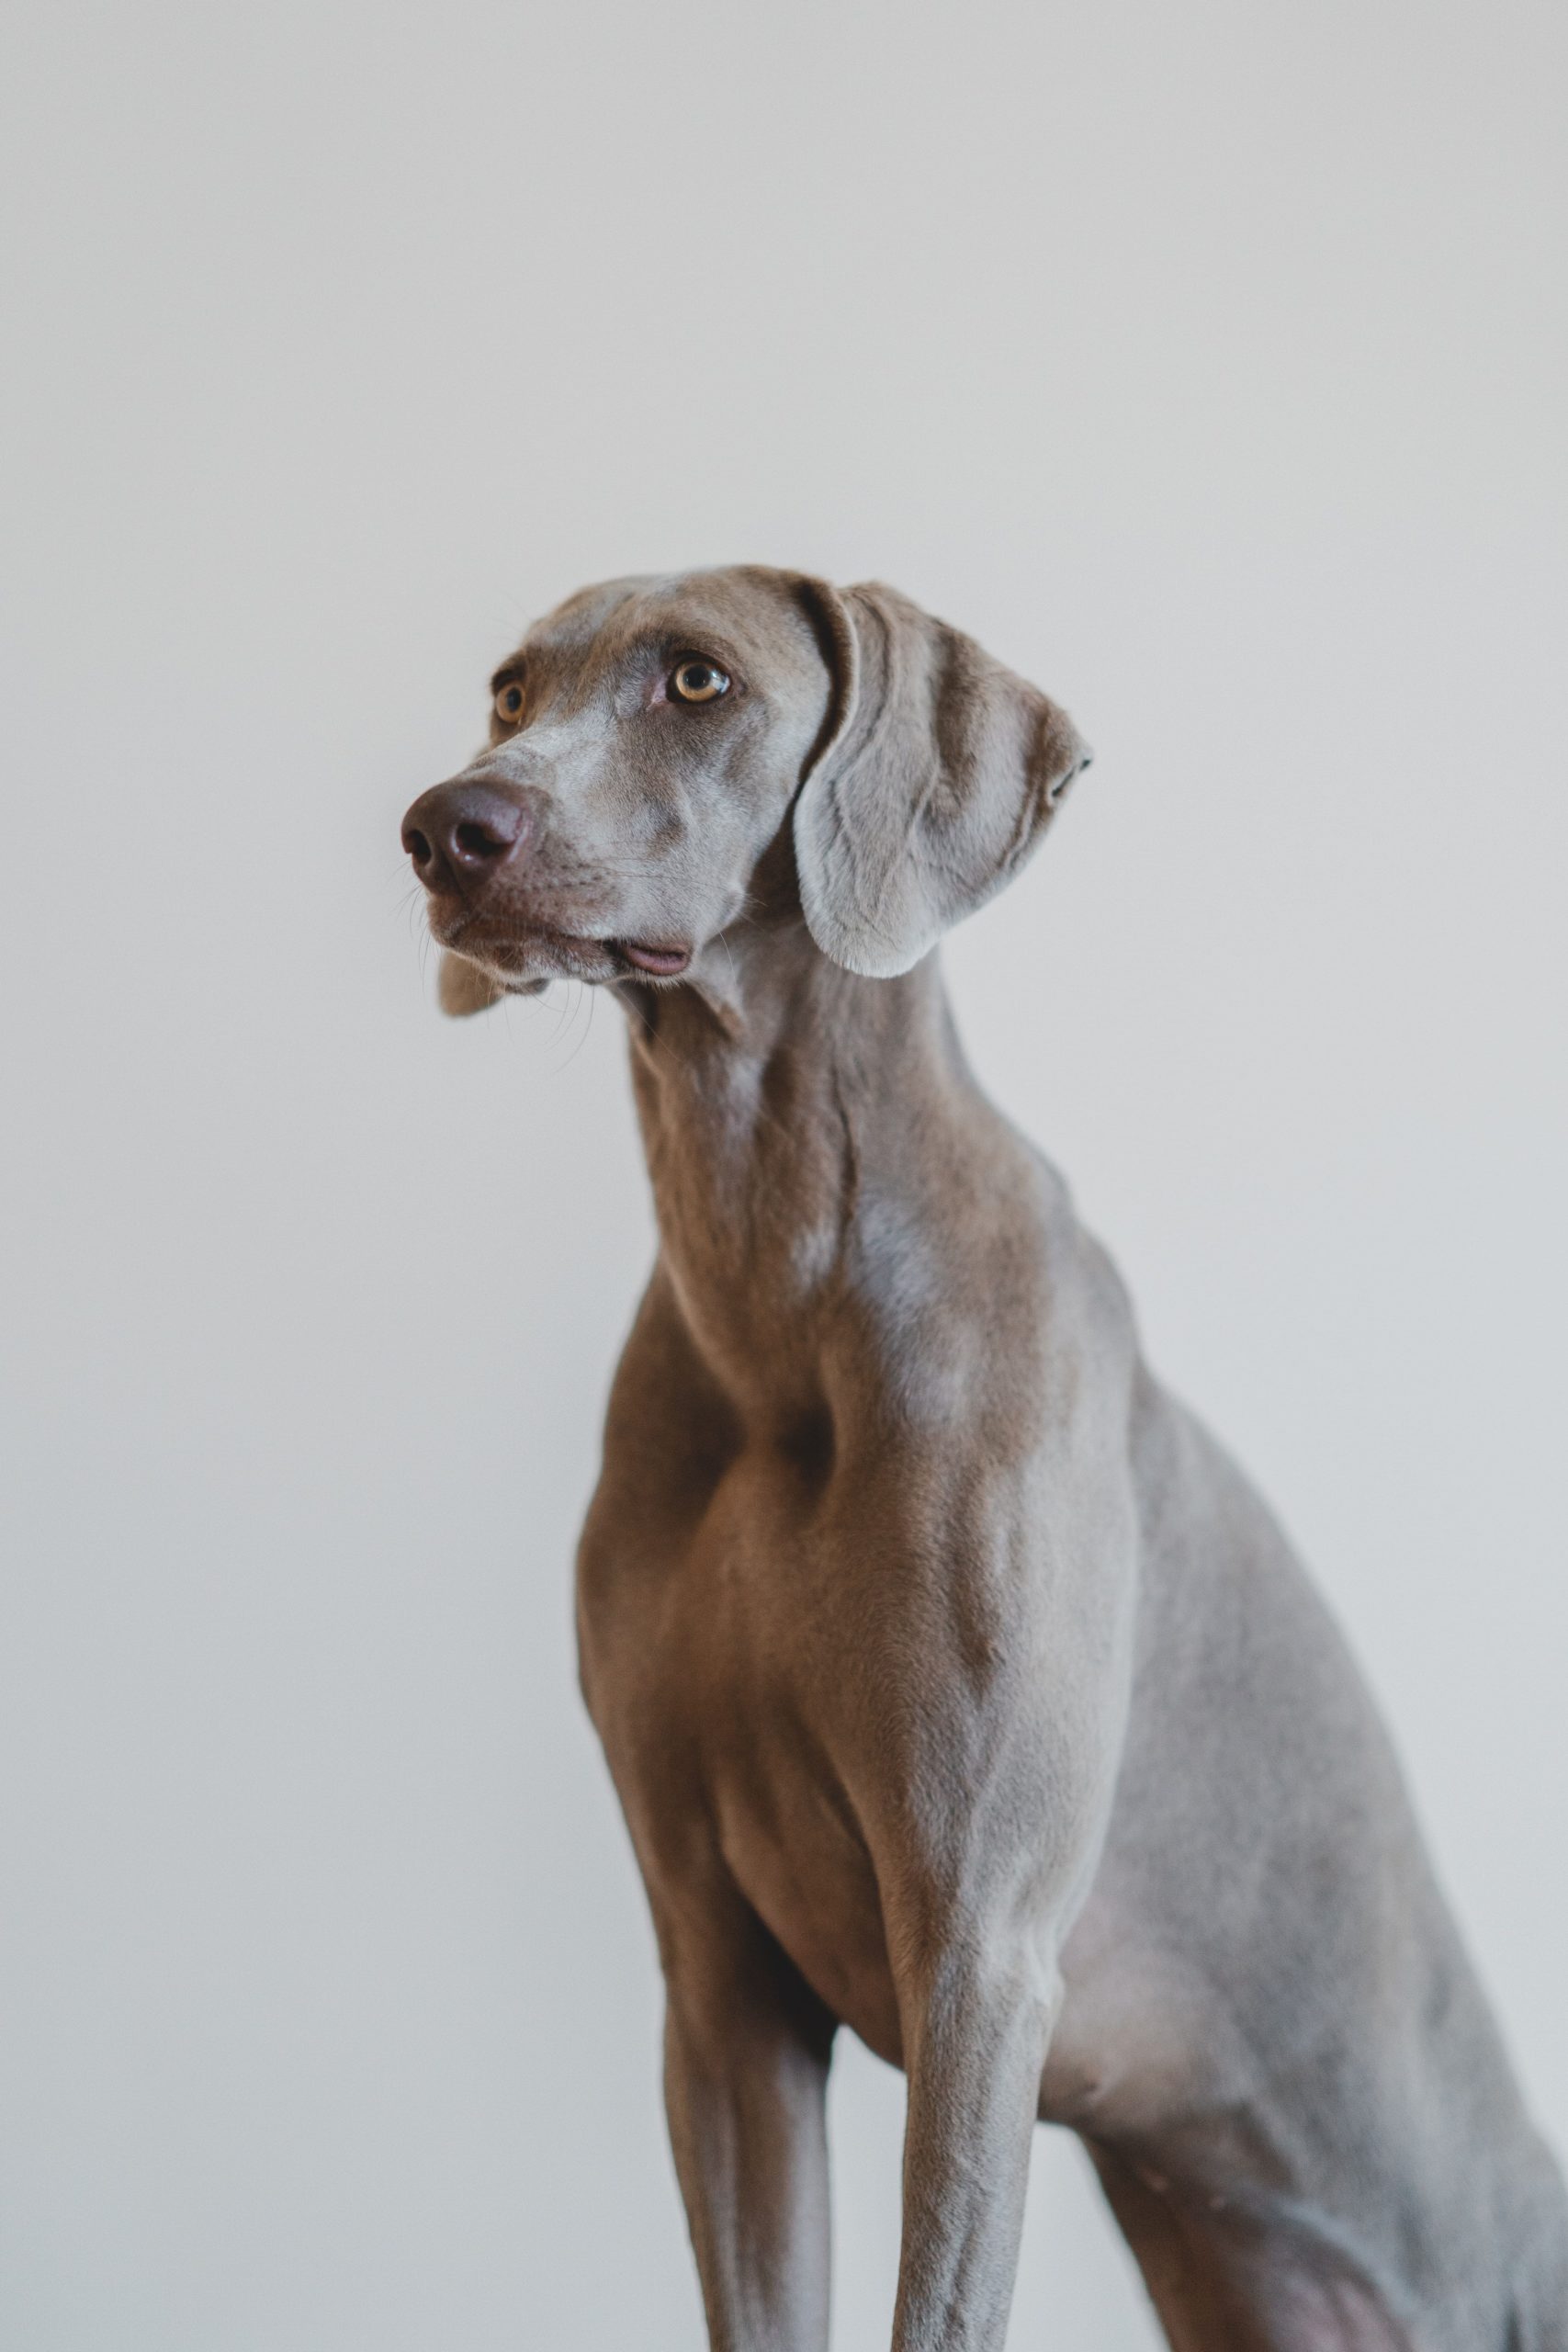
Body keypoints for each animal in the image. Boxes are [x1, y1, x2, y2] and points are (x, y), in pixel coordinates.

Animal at [401, 573, 1568, 2352]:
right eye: (509, 692)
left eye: (696, 681)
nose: (445, 827)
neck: (773, 1300)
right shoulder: (716, 1980)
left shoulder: (978, 1955)